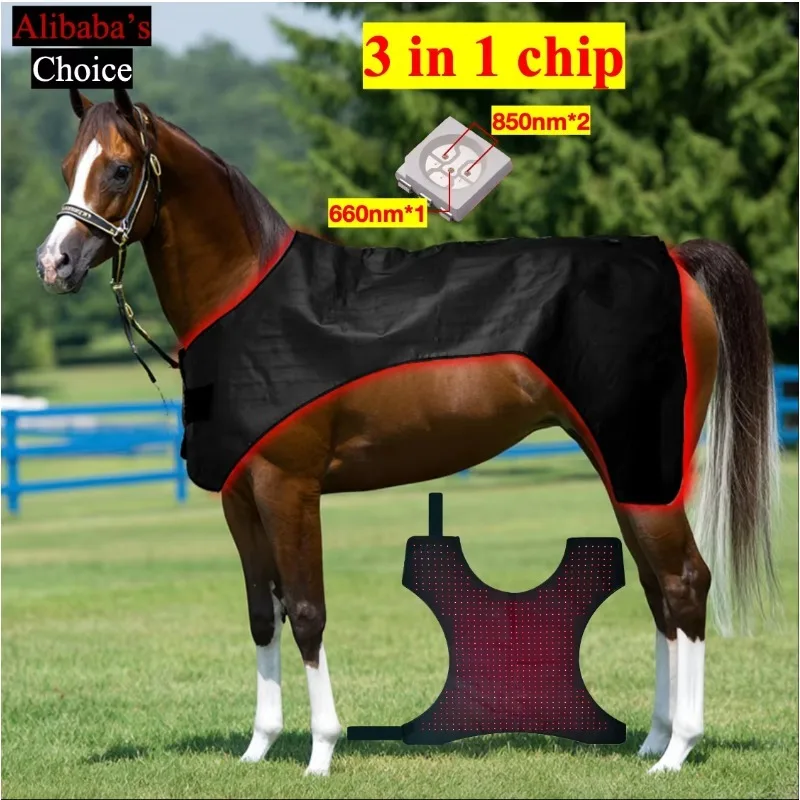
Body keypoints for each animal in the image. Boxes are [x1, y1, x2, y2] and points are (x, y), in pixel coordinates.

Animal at [35, 88, 779, 777]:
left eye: (120, 169)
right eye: (69, 166)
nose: (54, 264)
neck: (250, 301)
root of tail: (673, 257)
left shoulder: (289, 488)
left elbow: (307, 610)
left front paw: (321, 753)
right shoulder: (241, 499)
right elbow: (262, 615)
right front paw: (258, 749)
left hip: (642, 468)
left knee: (684, 583)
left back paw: (677, 751)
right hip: (626, 472)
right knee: (659, 591)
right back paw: (653, 739)